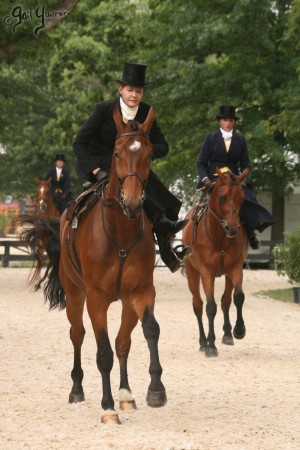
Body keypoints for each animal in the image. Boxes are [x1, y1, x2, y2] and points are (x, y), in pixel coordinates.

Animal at [15, 107, 166, 424]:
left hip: (124, 302)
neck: (121, 231)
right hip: (75, 295)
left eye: (148, 155)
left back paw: (126, 395)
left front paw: (154, 390)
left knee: (123, 341)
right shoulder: (96, 298)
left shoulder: (141, 292)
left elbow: (146, 332)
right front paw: (107, 408)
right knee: (78, 335)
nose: (132, 202)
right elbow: (103, 352)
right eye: (117, 153)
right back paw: (77, 389)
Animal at [182, 167, 250, 356]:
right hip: (192, 273)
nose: (232, 228)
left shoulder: (236, 268)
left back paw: (227, 334)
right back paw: (203, 342)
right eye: (222, 197)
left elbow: (238, 297)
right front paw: (211, 346)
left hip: (227, 274)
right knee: (198, 305)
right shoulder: (206, 273)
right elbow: (210, 307)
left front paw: (239, 330)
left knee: (226, 300)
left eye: (242, 198)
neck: (220, 236)